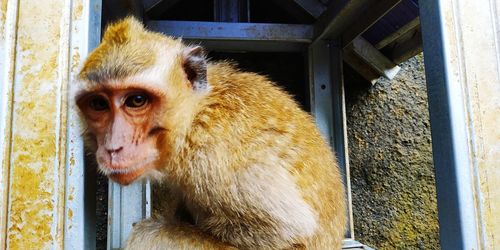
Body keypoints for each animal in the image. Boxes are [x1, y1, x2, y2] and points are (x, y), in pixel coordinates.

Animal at [75, 16, 348, 249]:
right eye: (99, 104)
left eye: (137, 100)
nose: (113, 147)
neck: (197, 115)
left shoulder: (215, 158)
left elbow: (288, 229)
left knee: (147, 235)